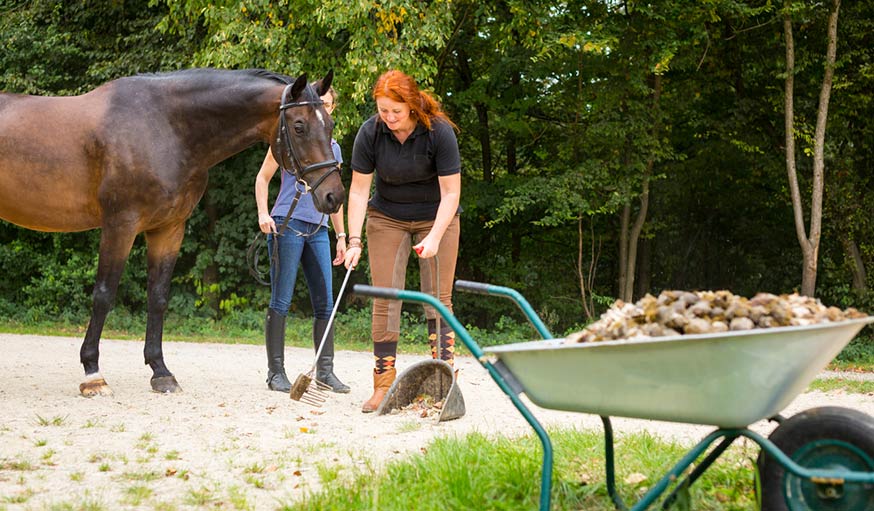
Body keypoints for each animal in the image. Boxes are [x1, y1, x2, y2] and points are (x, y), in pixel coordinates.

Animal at [0, 67, 346, 396]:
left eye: (329, 125)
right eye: (299, 126)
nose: (334, 196)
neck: (166, 128)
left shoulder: (168, 229)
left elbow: (158, 297)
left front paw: (161, 372)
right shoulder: (120, 225)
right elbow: (103, 295)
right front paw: (93, 374)